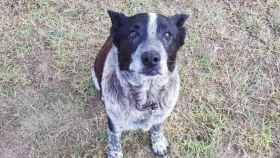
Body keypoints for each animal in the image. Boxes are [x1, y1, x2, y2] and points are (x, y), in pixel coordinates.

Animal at [92, 10, 188, 157]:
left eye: (168, 34)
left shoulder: (161, 115)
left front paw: (158, 143)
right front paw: (115, 153)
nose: (151, 58)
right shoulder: (114, 120)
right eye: (133, 34)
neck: (146, 96)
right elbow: (114, 140)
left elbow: (157, 128)